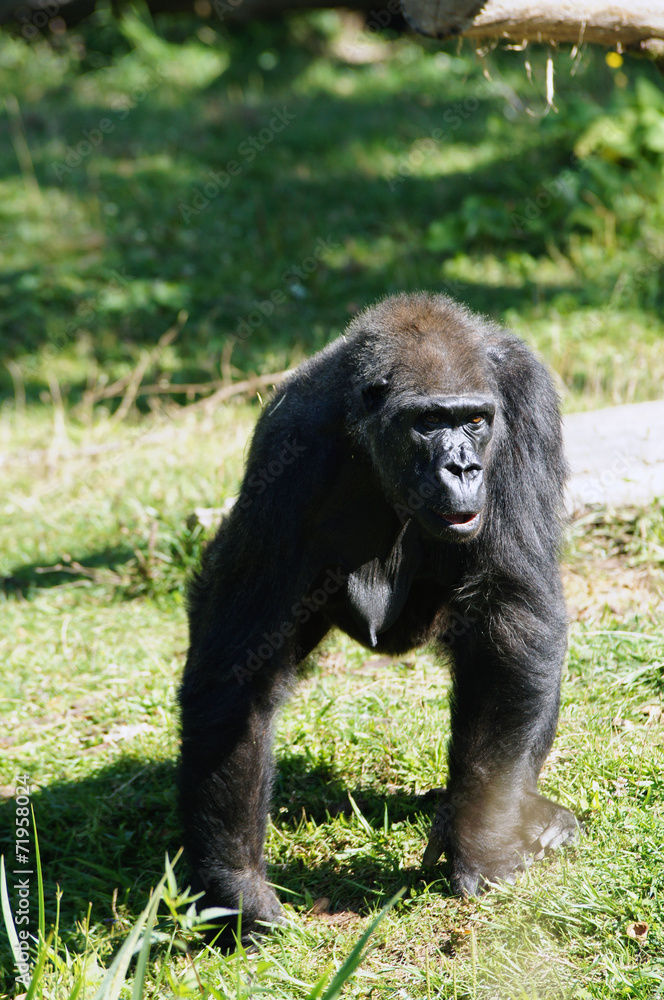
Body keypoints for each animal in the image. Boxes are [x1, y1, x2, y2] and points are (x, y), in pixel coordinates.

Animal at [179, 292, 580, 940]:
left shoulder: (527, 402)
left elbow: (512, 612)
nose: (463, 468)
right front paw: (234, 884)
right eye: (429, 422)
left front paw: (483, 835)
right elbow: (240, 653)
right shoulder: (287, 446)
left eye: (475, 420)